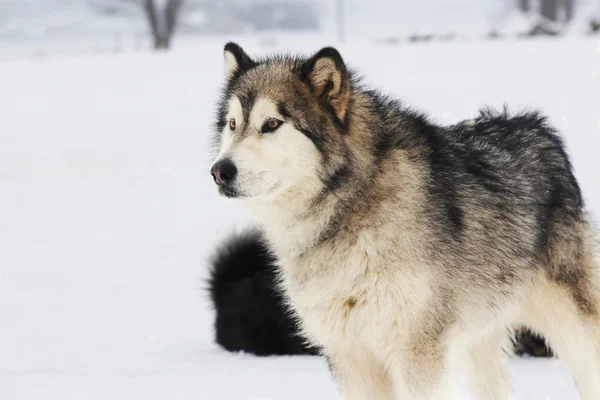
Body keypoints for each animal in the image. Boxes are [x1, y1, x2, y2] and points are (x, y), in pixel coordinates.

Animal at [207, 42, 600, 398]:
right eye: (232, 124)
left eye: (272, 123)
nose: (219, 171)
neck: (348, 209)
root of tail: (533, 125)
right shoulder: (350, 357)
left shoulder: (416, 353)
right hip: (482, 335)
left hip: (569, 326)